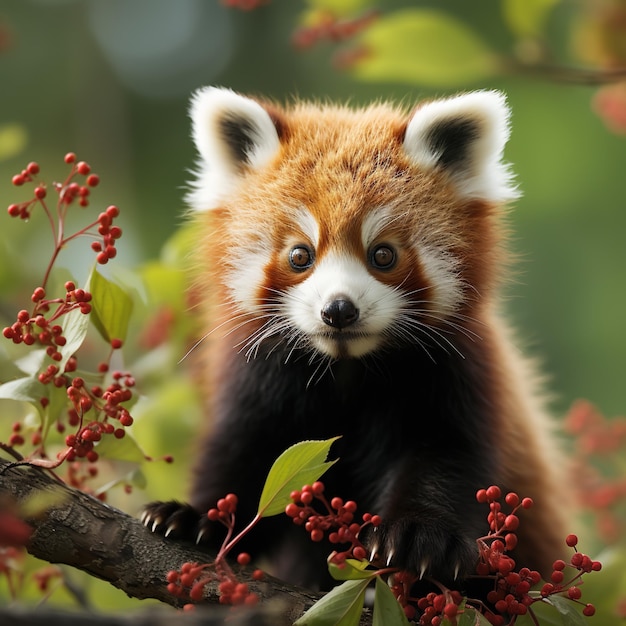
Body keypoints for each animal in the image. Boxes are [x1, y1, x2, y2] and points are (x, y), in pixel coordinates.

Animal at [144, 88, 568, 588]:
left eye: (382, 255)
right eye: (300, 255)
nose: (339, 310)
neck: (347, 366)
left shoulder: (458, 372)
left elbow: (446, 455)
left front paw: (420, 536)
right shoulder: (260, 379)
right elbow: (246, 454)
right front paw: (197, 518)